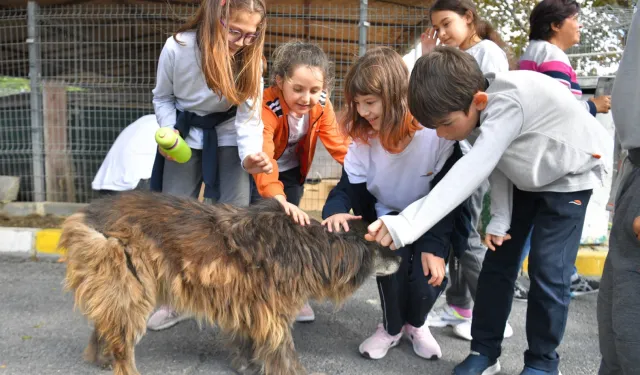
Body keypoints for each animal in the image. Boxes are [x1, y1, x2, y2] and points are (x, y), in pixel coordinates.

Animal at [60, 192, 400, 374]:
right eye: (382, 246)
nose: (400, 260)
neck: (310, 246)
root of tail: (88, 214)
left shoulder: (250, 304)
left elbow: (246, 339)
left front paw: (245, 363)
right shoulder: (272, 313)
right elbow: (282, 350)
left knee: (105, 325)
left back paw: (101, 357)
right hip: (131, 286)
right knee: (121, 339)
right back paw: (122, 364)